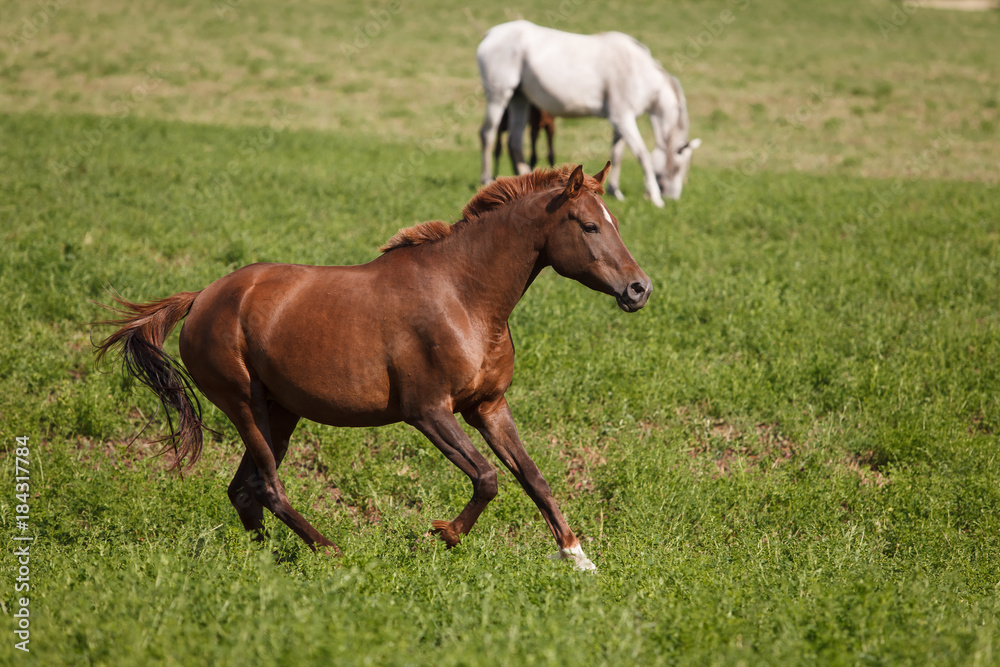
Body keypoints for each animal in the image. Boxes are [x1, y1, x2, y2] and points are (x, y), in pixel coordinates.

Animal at [95, 163, 651, 571]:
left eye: (617, 223)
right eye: (589, 225)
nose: (639, 289)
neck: (464, 297)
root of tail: (201, 299)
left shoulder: (488, 406)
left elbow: (533, 477)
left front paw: (577, 557)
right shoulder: (428, 412)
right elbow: (488, 477)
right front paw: (443, 534)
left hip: (281, 412)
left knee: (244, 491)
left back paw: (267, 559)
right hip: (244, 404)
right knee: (267, 487)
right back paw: (329, 551)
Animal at [477, 20, 701, 207]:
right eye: (679, 166)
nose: (673, 197)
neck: (639, 71)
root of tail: (491, 34)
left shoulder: (619, 123)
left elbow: (617, 155)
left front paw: (615, 191)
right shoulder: (623, 119)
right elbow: (643, 155)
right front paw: (655, 198)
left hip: (519, 99)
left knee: (514, 141)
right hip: (499, 95)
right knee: (488, 134)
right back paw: (486, 179)